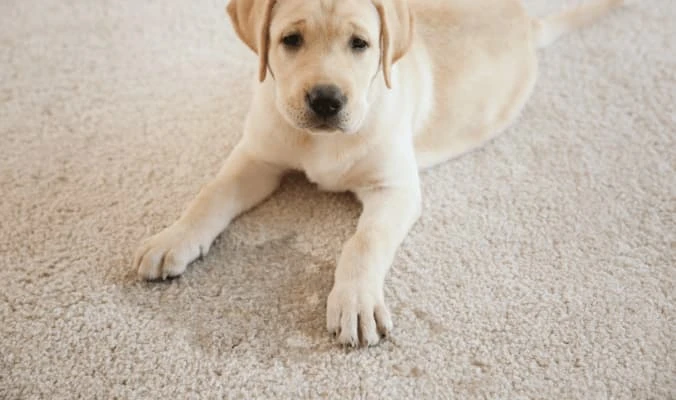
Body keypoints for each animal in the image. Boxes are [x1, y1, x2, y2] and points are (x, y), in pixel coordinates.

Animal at [135, 0, 632, 346]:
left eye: (360, 44)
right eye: (291, 40)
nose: (326, 100)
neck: (321, 142)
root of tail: (527, 22)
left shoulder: (395, 189)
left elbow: (364, 241)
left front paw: (355, 301)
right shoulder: (256, 157)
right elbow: (210, 195)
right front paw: (173, 237)